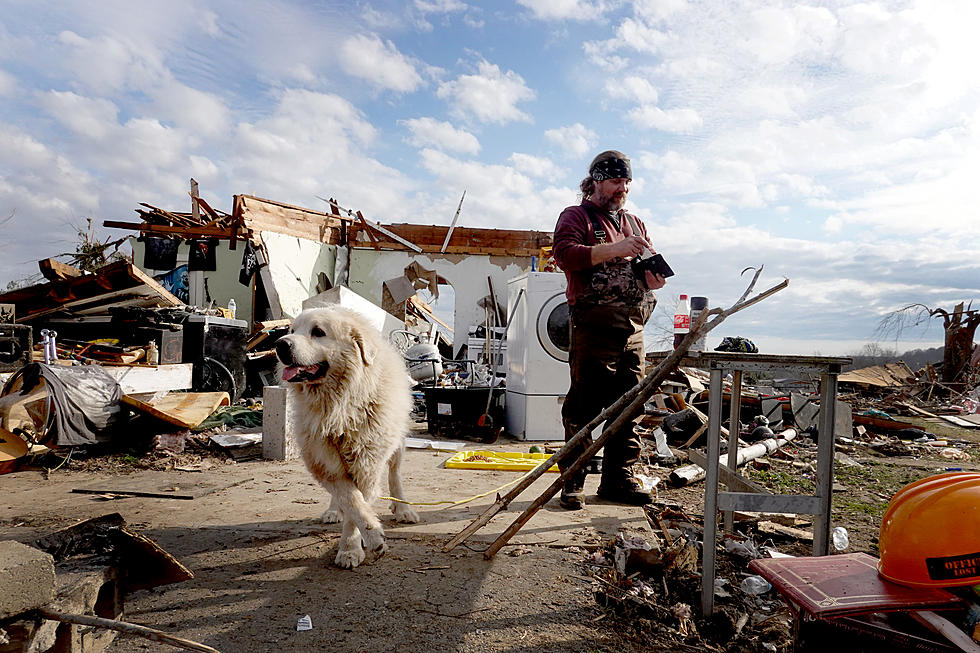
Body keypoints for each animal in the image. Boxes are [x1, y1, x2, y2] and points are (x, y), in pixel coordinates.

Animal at [274, 306, 420, 564]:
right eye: (292, 330)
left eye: (318, 332)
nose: (280, 344)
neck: (341, 406)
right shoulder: (323, 460)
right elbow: (351, 499)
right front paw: (359, 541)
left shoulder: (367, 463)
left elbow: (357, 506)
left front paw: (356, 545)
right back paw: (334, 510)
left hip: (397, 446)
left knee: (395, 475)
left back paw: (403, 509)